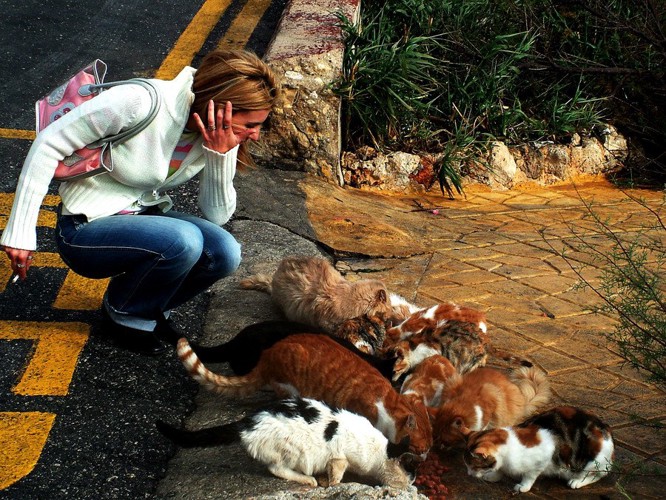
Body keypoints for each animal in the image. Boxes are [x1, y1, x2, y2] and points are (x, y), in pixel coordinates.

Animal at [156, 398, 410, 488]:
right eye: (410, 471)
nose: (411, 482)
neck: (380, 452)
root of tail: (247, 422)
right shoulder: (341, 456)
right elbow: (338, 471)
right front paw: (332, 484)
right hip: (294, 451)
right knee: (276, 469)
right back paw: (308, 480)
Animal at [462, 406, 612, 492]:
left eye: (473, 466)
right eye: (467, 465)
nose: (468, 474)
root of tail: (606, 429)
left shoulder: (543, 458)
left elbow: (530, 475)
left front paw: (523, 486)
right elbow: (500, 471)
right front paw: (493, 476)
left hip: (592, 462)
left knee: (598, 474)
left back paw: (576, 481)